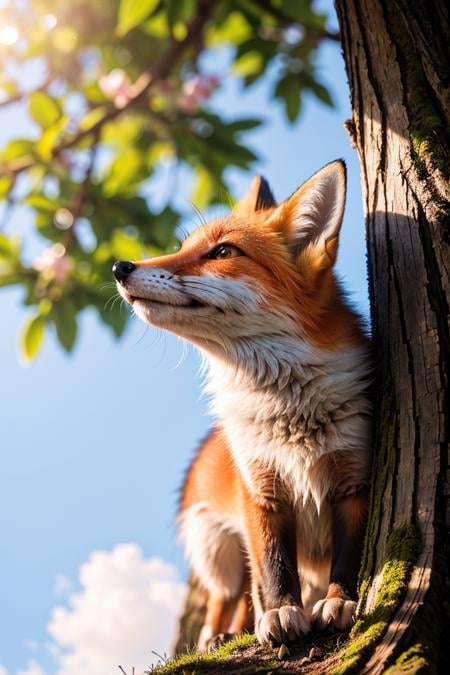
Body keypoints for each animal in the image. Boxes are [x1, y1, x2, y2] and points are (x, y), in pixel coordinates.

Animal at [112, 161, 372, 652]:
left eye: (223, 251)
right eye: (182, 248)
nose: (119, 266)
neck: (290, 415)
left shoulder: (354, 482)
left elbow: (350, 556)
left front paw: (339, 601)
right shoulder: (260, 491)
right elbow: (273, 567)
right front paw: (282, 613)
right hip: (220, 556)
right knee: (227, 602)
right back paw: (219, 638)